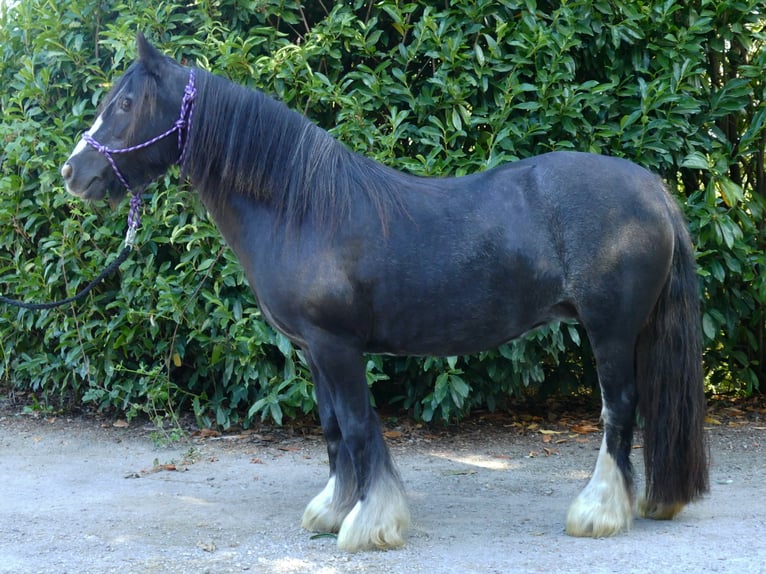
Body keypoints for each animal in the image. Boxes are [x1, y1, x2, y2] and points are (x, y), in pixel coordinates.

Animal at [60, 35, 708, 552]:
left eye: (123, 104)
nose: (73, 173)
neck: (301, 210)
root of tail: (653, 188)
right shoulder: (314, 351)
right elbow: (331, 429)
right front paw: (334, 509)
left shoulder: (338, 346)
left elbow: (355, 425)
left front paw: (370, 524)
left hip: (610, 331)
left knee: (618, 409)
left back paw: (598, 512)